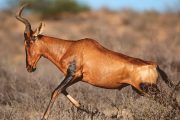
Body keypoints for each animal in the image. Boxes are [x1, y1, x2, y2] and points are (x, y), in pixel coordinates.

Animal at [15, 4, 174, 119]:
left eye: (29, 42)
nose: (29, 67)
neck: (71, 47)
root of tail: (154, 65)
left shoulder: (72, 74)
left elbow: (55, 91)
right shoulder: (75, 77)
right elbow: (63, 91)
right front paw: (88, 109)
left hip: (149, 88)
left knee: (171, 102)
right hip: (142, 90)